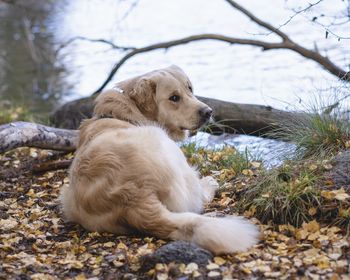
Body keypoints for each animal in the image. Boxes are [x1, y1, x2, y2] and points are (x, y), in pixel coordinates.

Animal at [59, 65, 260, 254]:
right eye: (174, 98)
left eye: (189, 88)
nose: (208, 112)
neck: (129, 114)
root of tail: (132, 196)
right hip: (166, 147)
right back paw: (208, 184)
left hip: (66, 198)